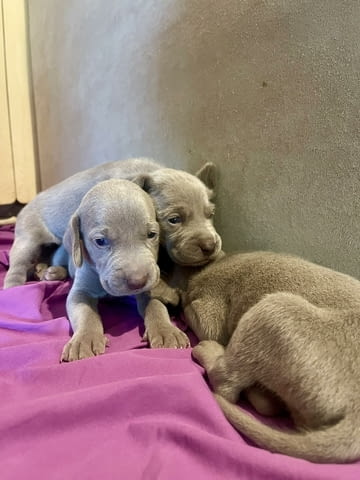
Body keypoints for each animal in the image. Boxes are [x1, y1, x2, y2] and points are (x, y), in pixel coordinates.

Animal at [177, 253, 360, 464]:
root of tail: (355, 413)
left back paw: (211, 353)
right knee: (271, 406)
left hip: (274, 309)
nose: (182, 298)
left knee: (225, 383)